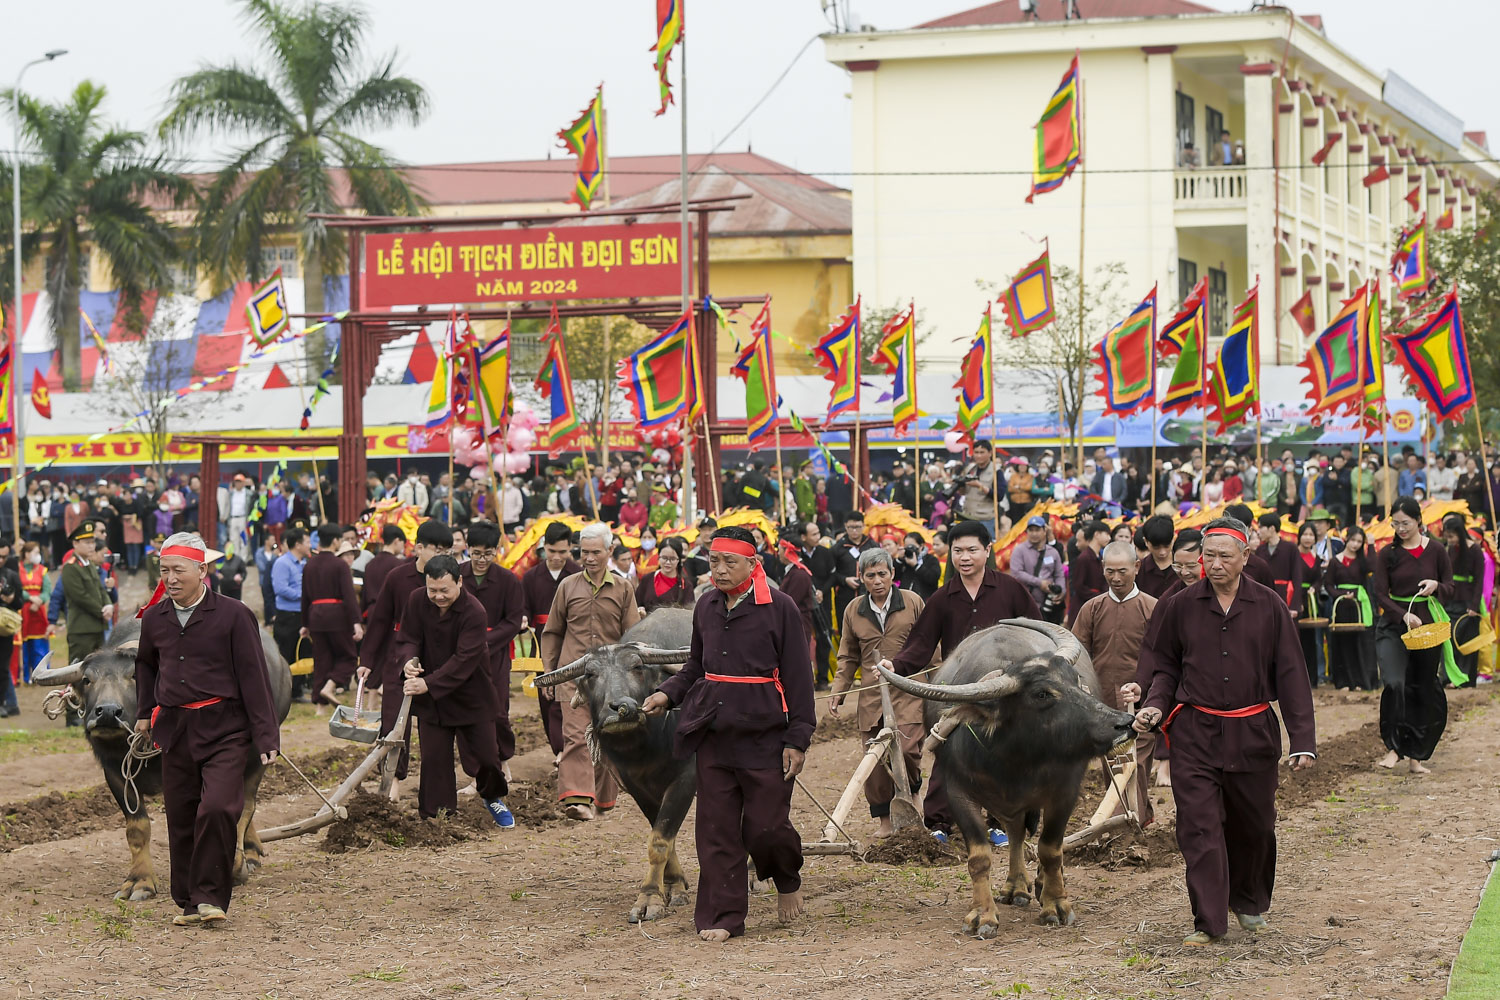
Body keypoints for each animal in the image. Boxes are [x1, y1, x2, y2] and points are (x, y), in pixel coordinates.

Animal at [33, 617, 292, 899]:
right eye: (87, 680)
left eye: (134, 676)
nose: (108, 712)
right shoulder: (115, 774)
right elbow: (137, 827)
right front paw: (139, 881)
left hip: (260, 754)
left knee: (247, 803)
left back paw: (245, 857)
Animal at [534, 602, 696, 923]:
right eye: (591, 674)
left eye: (637, 667)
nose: (620, 708)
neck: (647, 746)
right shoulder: (636, 785)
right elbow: (663, 837)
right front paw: (671, 888)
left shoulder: (686, 776)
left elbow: (660, 840)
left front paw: (650, 898)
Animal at [876, 617, 1128, 941]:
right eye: (1042, 694)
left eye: (1074, 680)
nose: (1123, 723)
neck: (1015, 760)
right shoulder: (958, 791)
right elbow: (979, 857)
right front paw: (983, 915)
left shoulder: (1066, 790)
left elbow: (1051, 848)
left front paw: (1056, 904)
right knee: (1016, 832)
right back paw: (1016, 887)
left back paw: (1040, 885)